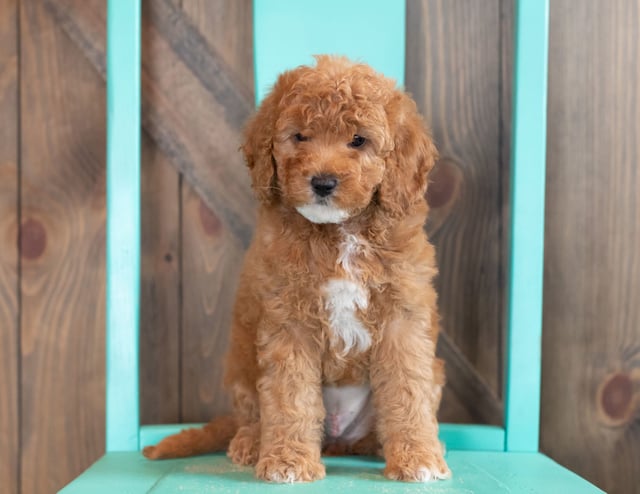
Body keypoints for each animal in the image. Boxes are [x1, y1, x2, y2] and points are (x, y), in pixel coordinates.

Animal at [144, 55, 450, 482]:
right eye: (300, 136)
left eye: (358, 140)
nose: (322, 182)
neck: (339, 232)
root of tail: (338, 439)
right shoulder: (288, 321)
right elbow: (289, 395)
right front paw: (287, 460)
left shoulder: (402, 318)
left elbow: (408, 388)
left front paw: (417, 456)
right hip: (241, 365)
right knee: (252, 413)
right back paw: (250, 442)